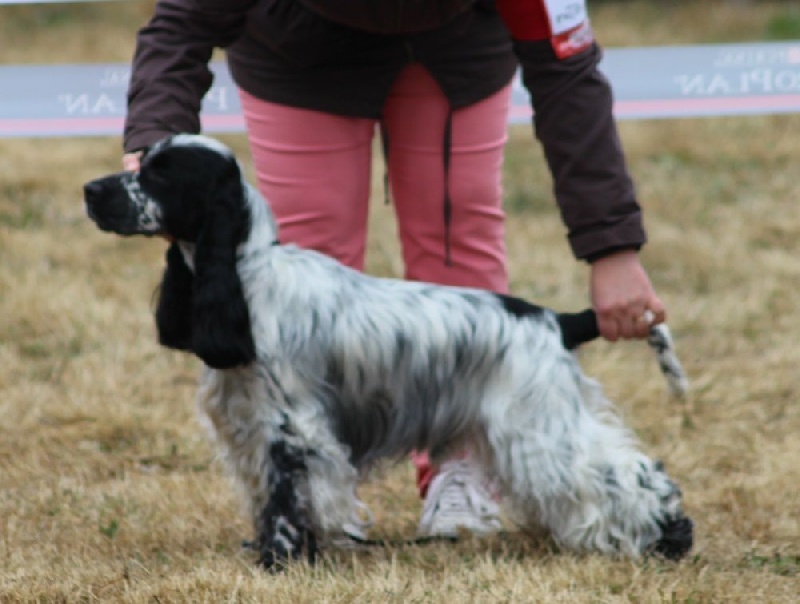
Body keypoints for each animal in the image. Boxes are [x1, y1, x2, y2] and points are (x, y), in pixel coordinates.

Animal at [83, 134, 692, 568]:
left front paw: (280, 559)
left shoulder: (292, 426)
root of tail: (554, 321)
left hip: (538, 428)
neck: (248, 273)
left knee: (632, 474)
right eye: (143, 161)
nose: (91, 190)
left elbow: (286, 499)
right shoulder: (251, 423)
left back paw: (671, 538)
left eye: (161, 174)